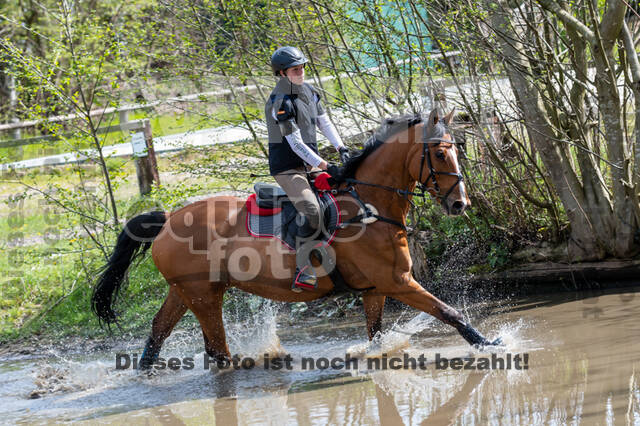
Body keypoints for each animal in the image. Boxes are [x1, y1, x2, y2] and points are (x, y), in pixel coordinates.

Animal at [91, 108, 500, 368]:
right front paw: (491, 343)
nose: (460, 205)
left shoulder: (375, 289)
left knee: (158, 333)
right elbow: (448, 312)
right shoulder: (397, 281)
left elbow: (376, 334)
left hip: (185, 290)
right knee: (216, 350)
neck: (369, 205)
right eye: (441, 153)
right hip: (203, 295)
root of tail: (167, 219)